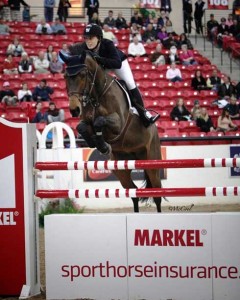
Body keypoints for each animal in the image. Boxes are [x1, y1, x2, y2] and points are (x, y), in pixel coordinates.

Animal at [59, 49, 163, 212]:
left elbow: (99, 122)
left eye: (82, 75)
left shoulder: (119, 124)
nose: (74, 109)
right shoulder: (86, 120)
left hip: (152, 162)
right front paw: (98, 144)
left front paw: (102, 145)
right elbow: (82, 127)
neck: (97, 95)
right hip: (120, 167)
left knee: (157, 193)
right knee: (133, 193)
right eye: (65, 76)